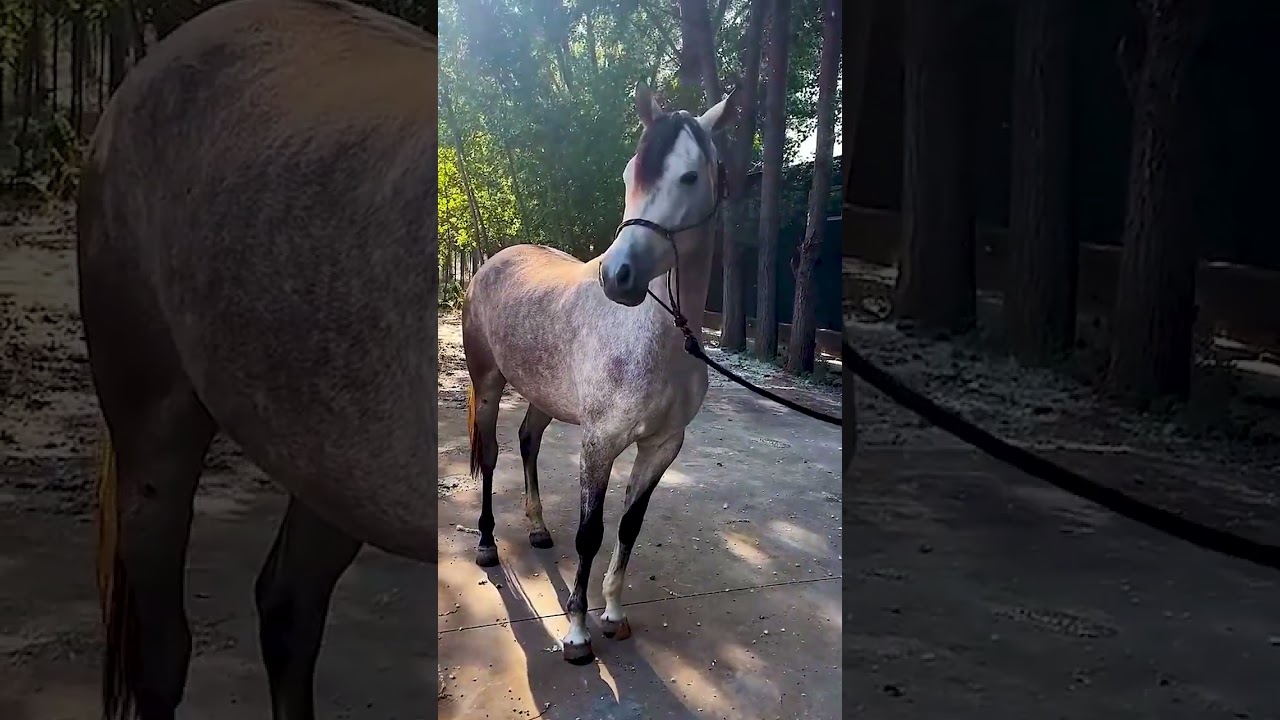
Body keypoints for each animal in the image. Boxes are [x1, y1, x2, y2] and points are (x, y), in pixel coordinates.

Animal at [461, 82, 736, 664]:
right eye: (630, 174)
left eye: (690, 176)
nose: (619, 276)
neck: (657, 341)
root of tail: (491, 263)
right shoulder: (600, 443)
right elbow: (591, 531)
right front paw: (577, 633)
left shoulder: (662, 445)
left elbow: (629, 525)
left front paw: (611, 613)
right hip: (489, 384)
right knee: (492, 455)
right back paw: (488, 544)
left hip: (543, 396)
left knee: (528, 441)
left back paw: (538, 529)